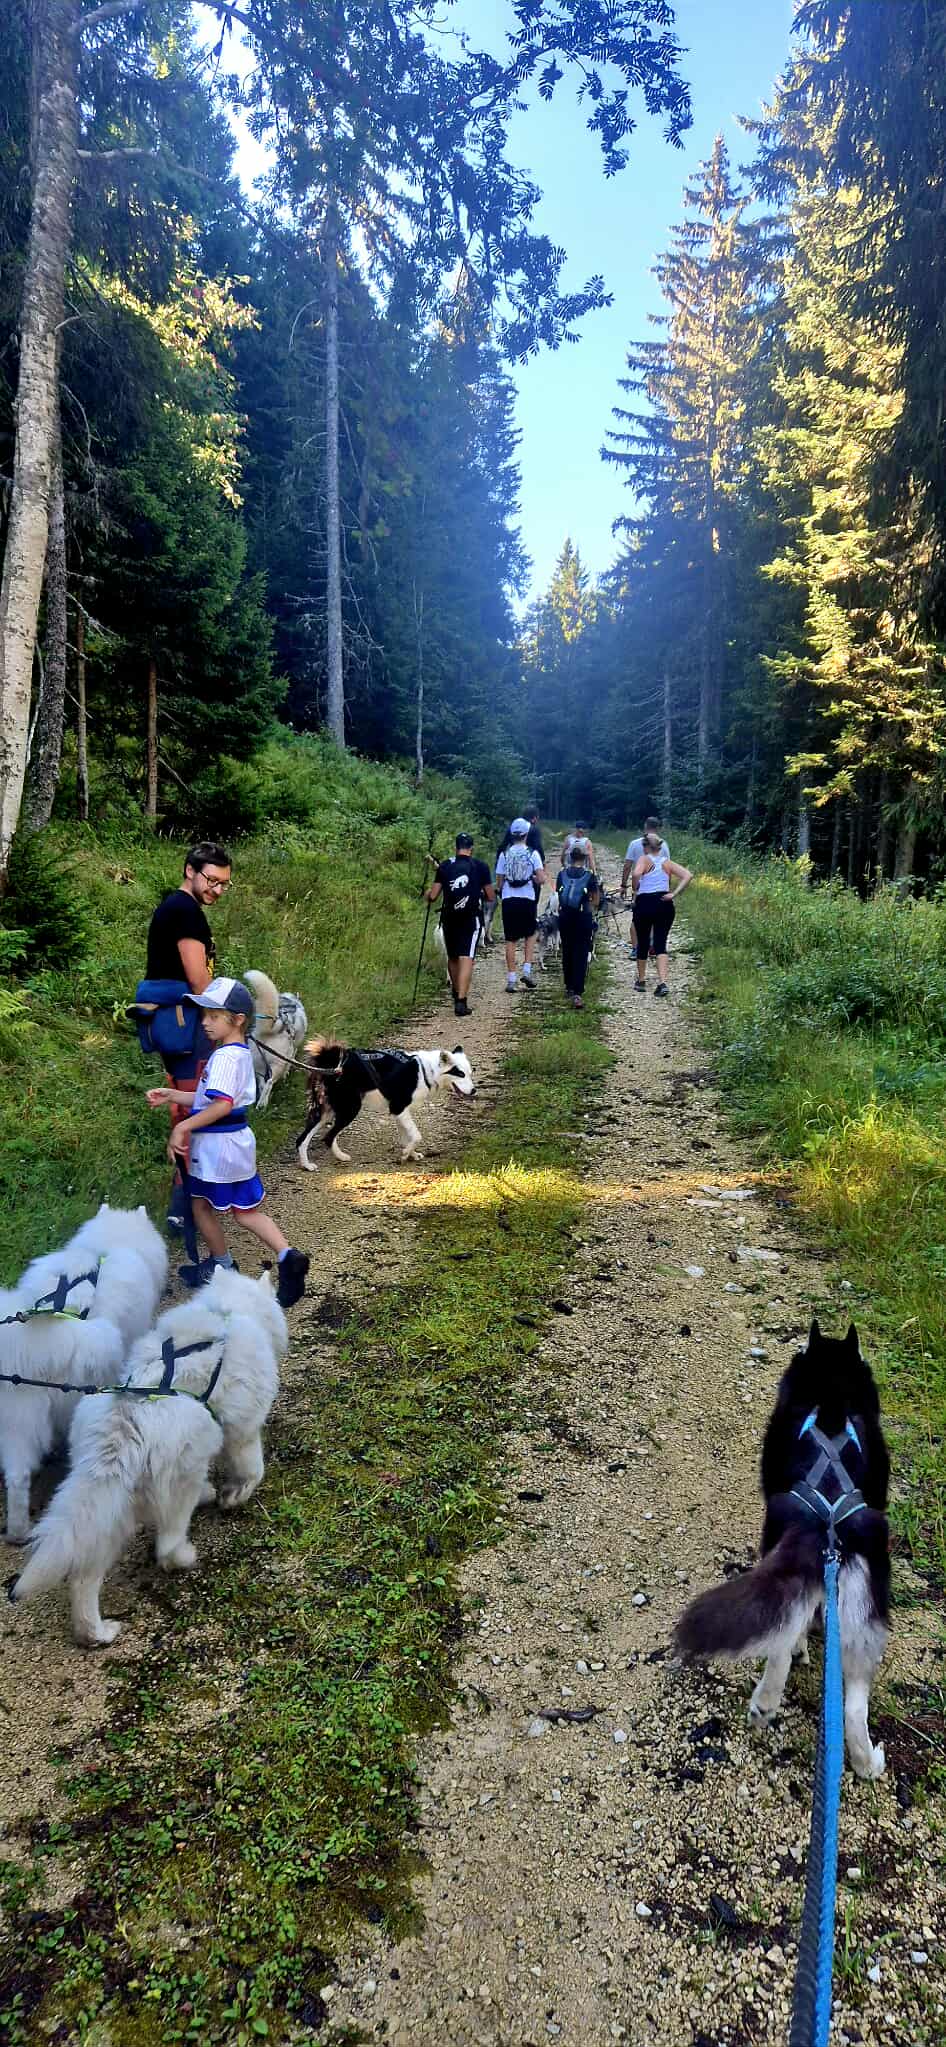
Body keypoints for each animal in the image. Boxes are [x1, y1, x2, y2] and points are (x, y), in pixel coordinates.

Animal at [10, 1268, 287, 1647]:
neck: (228, 1310)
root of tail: (122, 1432)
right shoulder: (243, 1431)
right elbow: (252, 1470)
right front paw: (235, 1495)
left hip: (108, 1514)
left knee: (83, 1580)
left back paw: (97, 1633)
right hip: (176, 1489)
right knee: (166, 1547)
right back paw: (186, 1554)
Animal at [244, 970, 308, 1109]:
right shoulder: (292, 1051)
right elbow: (291, 1059)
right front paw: (286, 1073)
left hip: (258, 1063)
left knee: (262, 1083)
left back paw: (260, 1103)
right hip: (277, 1063)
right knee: (269, 1082)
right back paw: (263, 1104)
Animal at [296, 1040, 476, 1168]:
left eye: (470, 1073)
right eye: (460, 1074)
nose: (474, 1091)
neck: (426, 1071)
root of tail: (331, 1063)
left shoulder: (400, 1112)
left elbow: (407, 1137)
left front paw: (410, 1154)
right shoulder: (399, 1107)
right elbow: (417, 1135)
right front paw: (406, 1154)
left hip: (326, 1112)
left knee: (302, 1139)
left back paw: (307, 1165)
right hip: (350, 1108)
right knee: (328, 1136)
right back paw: (339, 1157)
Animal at [673, 1321, 890, 1780]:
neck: (831, 1387)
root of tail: (827, 1522)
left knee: (787, 1641)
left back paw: (768, 1700)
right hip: (864, 1614)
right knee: (852, 1707)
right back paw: (866, 1764)